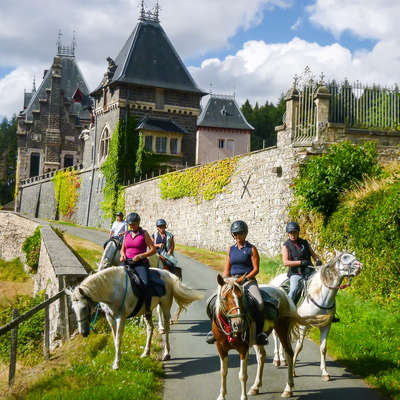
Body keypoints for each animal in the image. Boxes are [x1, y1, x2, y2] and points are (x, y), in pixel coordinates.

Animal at [67, 264, 203, 370]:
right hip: (147, 311)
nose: (83, 333)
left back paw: (166, 354)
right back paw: (146, 353)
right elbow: (114, 338)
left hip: (164, 307)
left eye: (85, 307)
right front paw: (116, 360)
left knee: (166, 329)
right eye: (73, 309)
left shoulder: (120, 318)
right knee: (150, 329)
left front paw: (117, 364)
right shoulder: (110, 317)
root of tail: (168, 274)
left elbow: (118, 340)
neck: (112, 289)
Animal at [270, 252, 360, 380]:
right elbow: (299, 346)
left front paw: (325, 373)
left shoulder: (326, 326)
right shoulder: (303, 326)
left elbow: (323, 348)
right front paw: (293, 371)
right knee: (276, 336)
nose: (359, 266)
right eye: (344, 257)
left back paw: (283, 360)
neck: (321, 295)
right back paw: (277, 359)